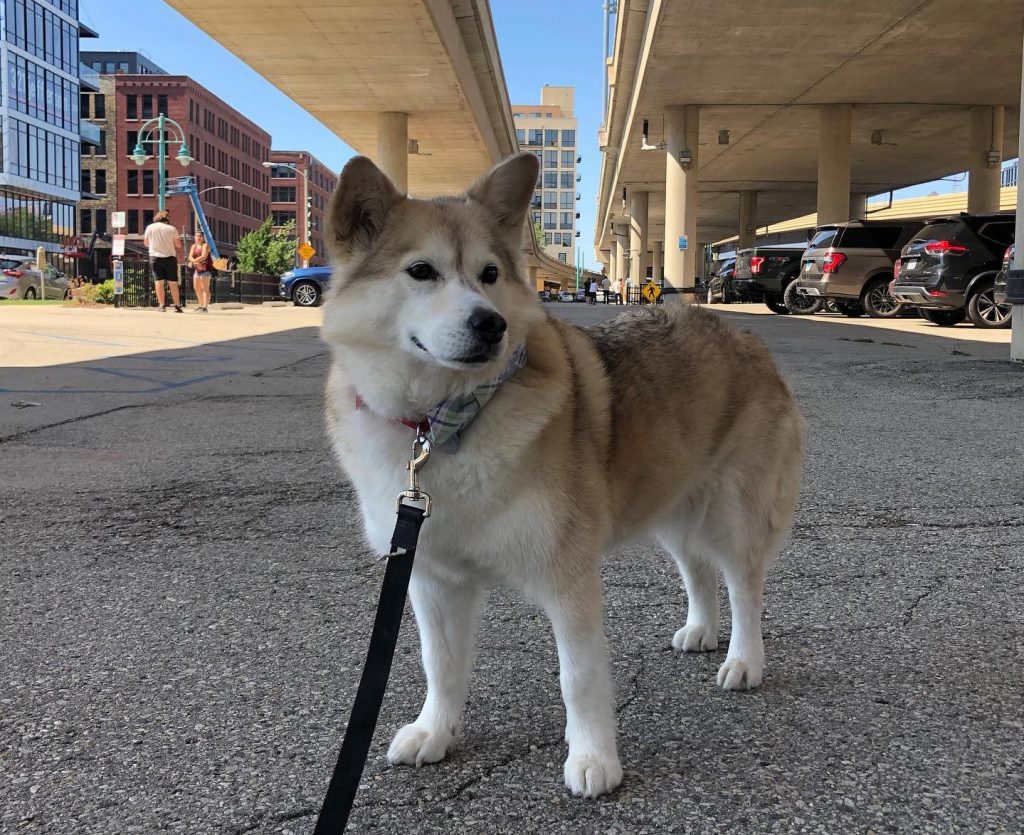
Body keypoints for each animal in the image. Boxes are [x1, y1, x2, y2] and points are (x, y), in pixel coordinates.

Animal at [323, 153, 802, 799]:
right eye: (420, 271)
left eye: (490, 273)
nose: (491, 324)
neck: (443, 421)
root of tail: (743, 333)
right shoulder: (432, 577)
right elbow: (439, 664)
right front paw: (436, 730)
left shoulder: (566, 576)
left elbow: (578, 676)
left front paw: (594, 757)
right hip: (672, 497)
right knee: (697, 569)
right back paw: (702, 628)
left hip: (732, 509)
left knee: (742, 584)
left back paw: (744, 659)